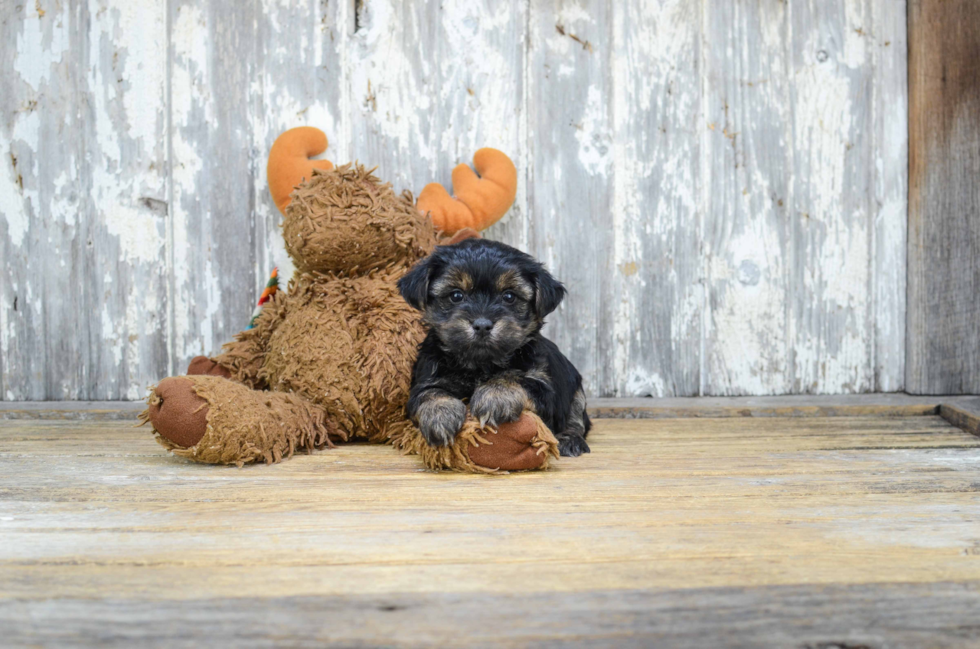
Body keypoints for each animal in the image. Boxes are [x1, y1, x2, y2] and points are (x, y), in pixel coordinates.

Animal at [396, 237, 588, 456]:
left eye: (509, 296)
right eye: (456, 295)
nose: (482, 324)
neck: (480, 364)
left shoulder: (545, 388)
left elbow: (518, 379)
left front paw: (495, 394)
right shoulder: (426, 377)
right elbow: (428, 392)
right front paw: (440, 415)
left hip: (574, 385)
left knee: (576, 416)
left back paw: (570, 439)